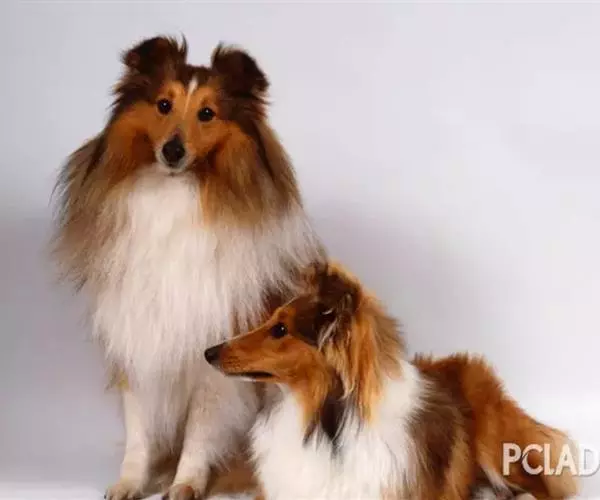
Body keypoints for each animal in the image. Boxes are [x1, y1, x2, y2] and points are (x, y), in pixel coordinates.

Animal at [52, 36, 323, 499]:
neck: (174, 197)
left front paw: (186, 484)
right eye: (164, 105)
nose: (173, 151)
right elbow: (139, 429)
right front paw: (129, 483)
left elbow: (202, 426)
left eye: (207, 113)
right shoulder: (137, 335)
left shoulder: (214, 347)